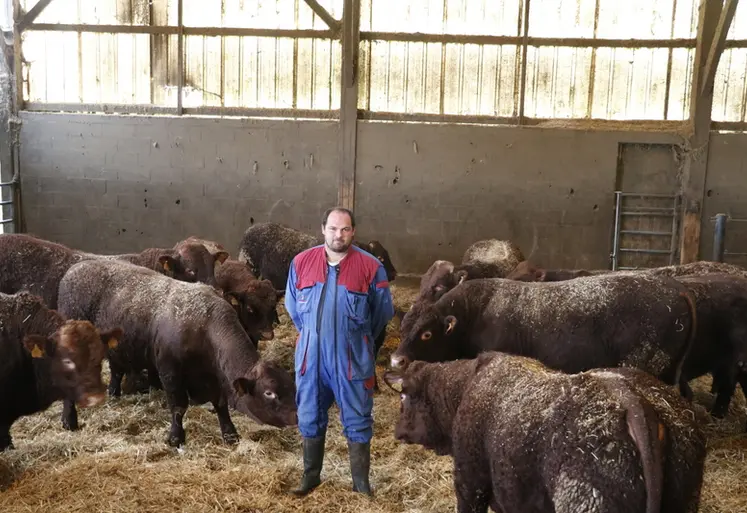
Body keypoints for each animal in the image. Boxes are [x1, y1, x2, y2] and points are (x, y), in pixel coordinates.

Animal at [57, 258, 298, 446]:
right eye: (269, 393)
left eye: (292, 386)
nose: (298, 416)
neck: (205, 325)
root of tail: (75, 269)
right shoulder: (169, 371)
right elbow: (178, 407)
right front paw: (176, 438)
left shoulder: (214, 377)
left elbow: (221, 405)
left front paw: (230, 435)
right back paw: (69, 421)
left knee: (116, 369)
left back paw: (113, 393)